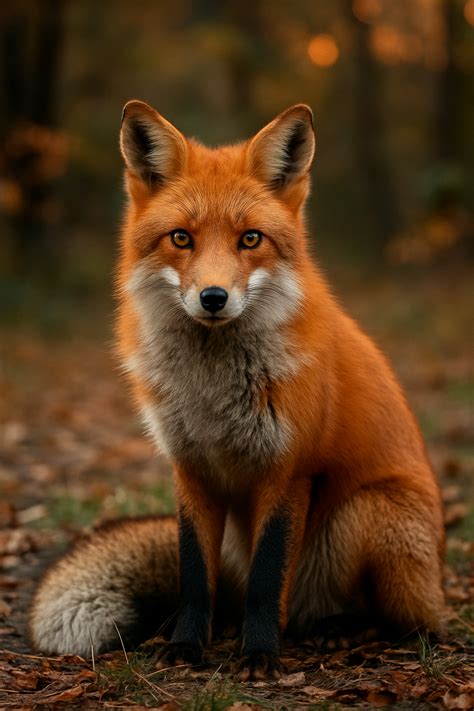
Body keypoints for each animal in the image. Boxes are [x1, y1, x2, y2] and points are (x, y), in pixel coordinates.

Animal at [29, 101, 445, 680]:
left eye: (250, 239)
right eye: (181, 238)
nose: (213, 297)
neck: (212, 395)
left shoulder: (287, 471)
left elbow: (268, 581)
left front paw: (259, 656)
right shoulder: (189, 468)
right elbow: (193, 578)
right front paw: (186, 646)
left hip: (369, 513)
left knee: (407, 625)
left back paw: (341, 629)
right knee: (229, 595)